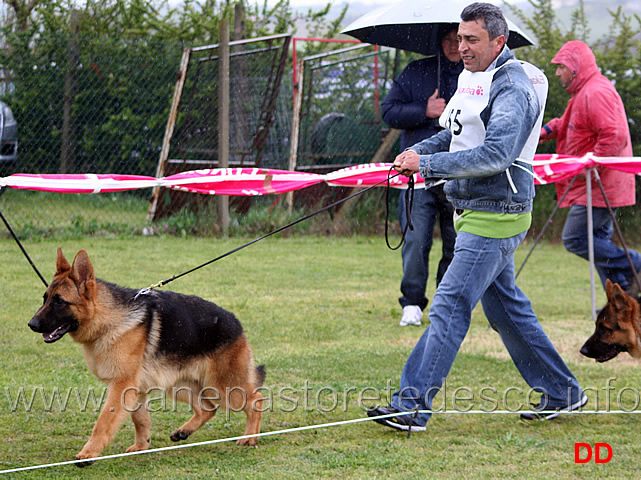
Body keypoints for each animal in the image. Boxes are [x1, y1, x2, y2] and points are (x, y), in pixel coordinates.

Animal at [28, 249, 264, 466]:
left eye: (59, 302)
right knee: (208, 408)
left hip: (225, 387)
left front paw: (88, 453)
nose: (32, 324)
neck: (108, 319)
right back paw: (184, 431)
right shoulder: (136, 390)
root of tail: (236, 322)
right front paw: (142, 446)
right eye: (45, 299)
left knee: (256, 399)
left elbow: (103, 422)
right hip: (179, 386)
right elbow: (140, 420)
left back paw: (250, 437)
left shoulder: (122, 386)